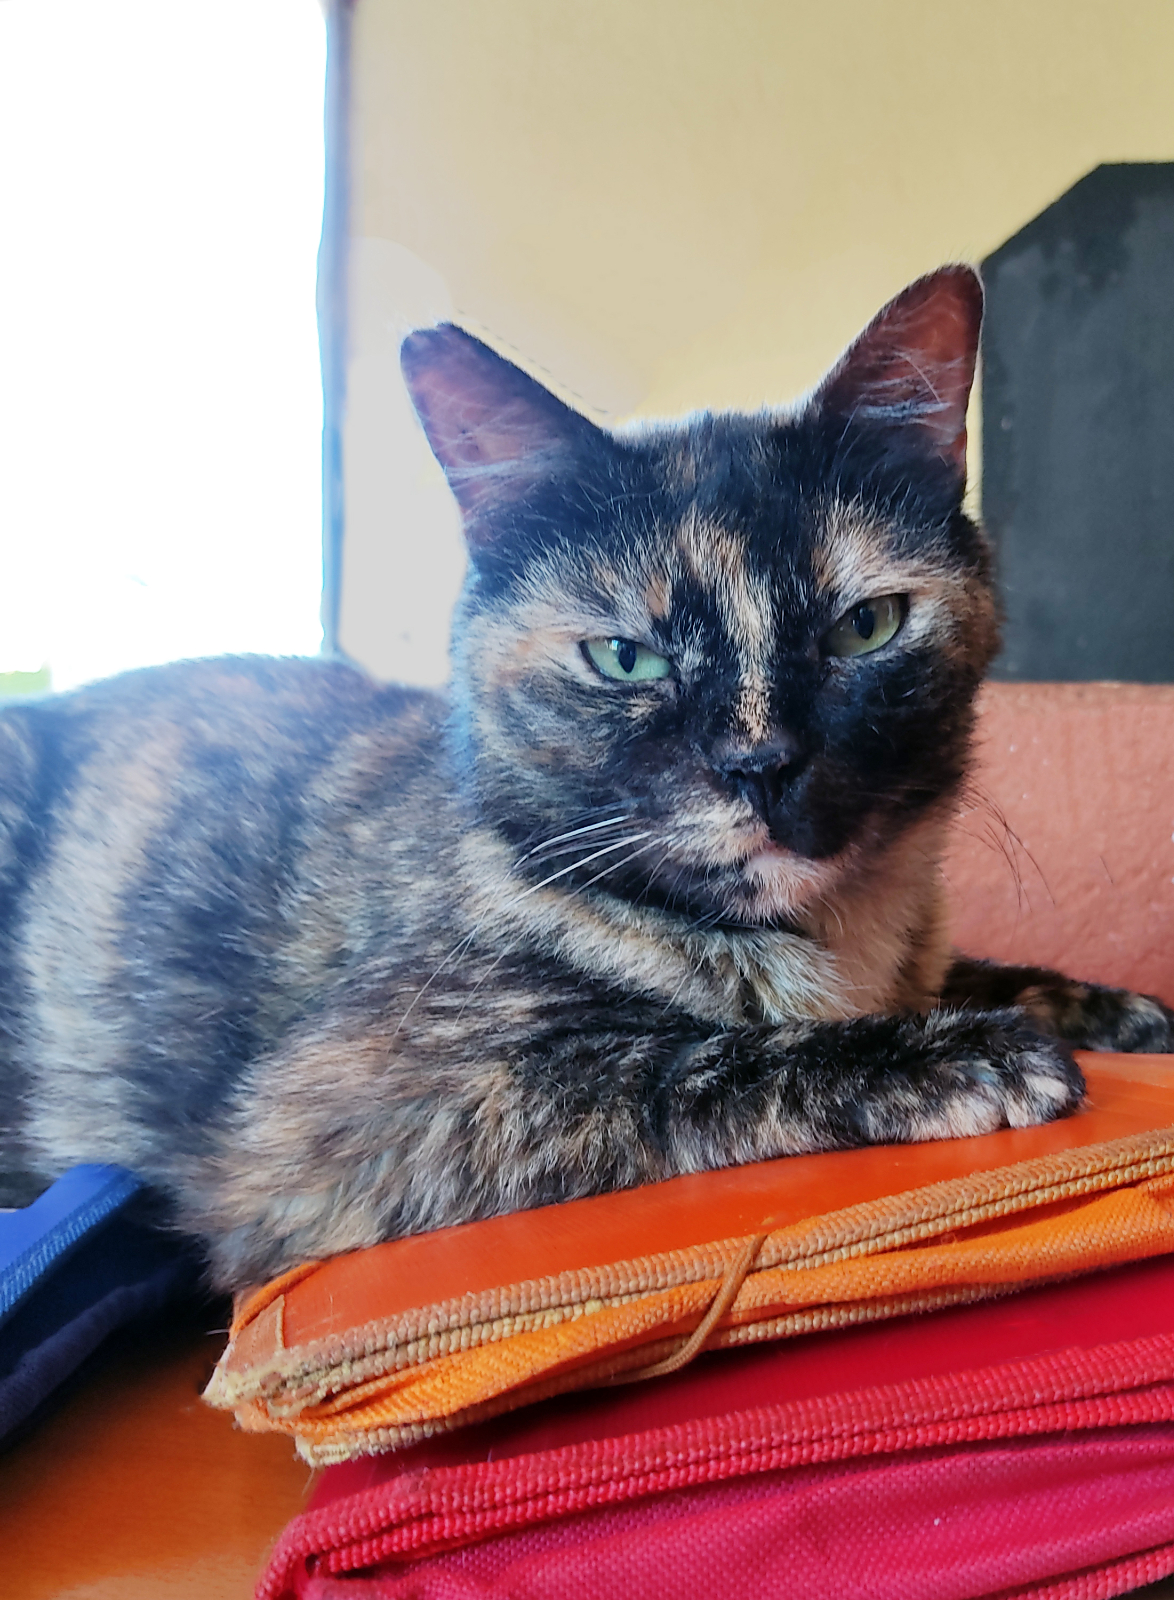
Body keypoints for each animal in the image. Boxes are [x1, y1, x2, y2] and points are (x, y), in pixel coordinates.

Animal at [1, 265, 1170, 1294]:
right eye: (624, 658)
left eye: (866, 626)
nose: (760, 765)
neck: (847, 939)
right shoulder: (343, 1120)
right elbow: (695, 1055)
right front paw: (961, 1053)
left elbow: (974, 966)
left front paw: (1115, 1008)